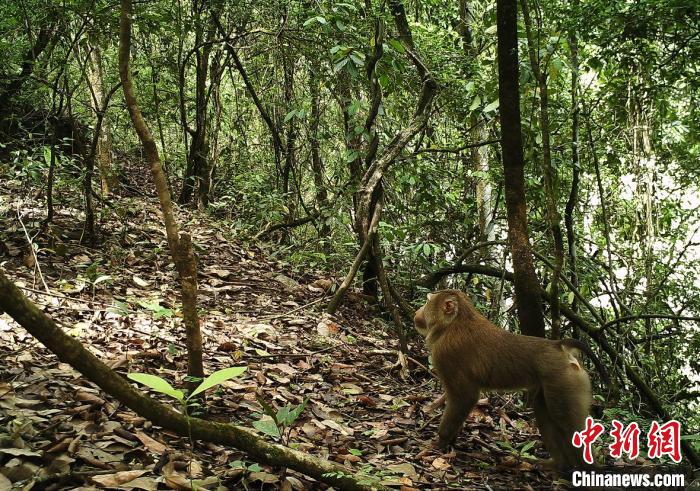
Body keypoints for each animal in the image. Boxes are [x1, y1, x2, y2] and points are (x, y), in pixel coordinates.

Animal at [412, 290, 604, 470]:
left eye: (428, 302)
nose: (417, 310)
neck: (454, 323)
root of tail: (560, 346)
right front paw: (451, 440)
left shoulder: (446, 354)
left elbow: (465, 397)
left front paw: (438, 443)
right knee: (545, 413)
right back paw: (558, 465)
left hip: (564, 381)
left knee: (567, 421)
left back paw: (587, 469)